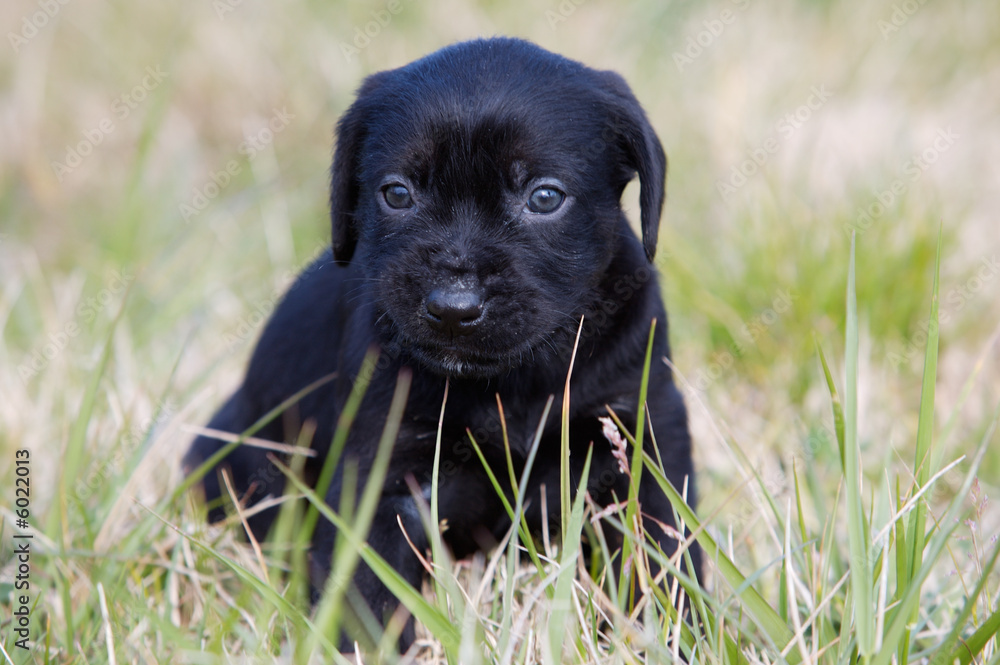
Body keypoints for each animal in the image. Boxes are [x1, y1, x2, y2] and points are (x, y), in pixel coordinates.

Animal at [189, 35, 704, 648]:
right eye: (396, 193)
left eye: (545, 197)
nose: (453, 309)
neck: (512, 381)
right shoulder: (385, 472)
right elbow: (367, 591)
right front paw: (364, 652)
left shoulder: (641, 433)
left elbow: (665, 552)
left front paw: (681, 634)